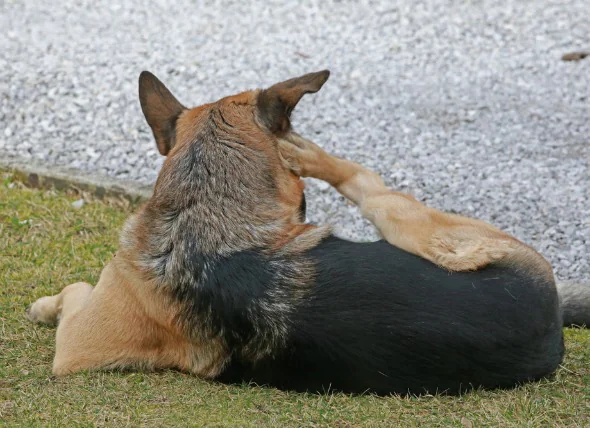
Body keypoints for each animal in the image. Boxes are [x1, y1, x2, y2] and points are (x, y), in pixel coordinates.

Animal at [26, 69, 590, 394]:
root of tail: (548, 327)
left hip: (417, 225)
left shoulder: (74, 347)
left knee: (371, 184)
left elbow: (75, 289)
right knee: (370, 184)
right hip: (418, 228)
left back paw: (305, 151)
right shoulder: (81, 346)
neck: (204, 212)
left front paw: (45, 304)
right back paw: (305, 151)